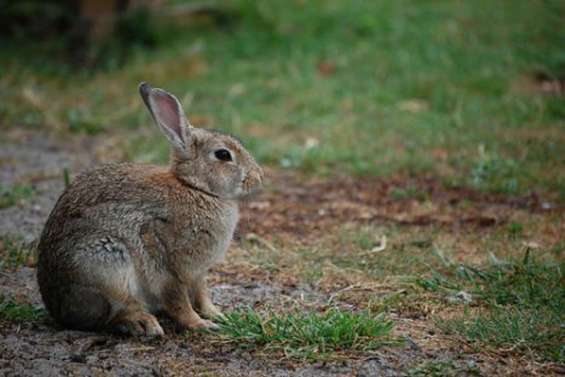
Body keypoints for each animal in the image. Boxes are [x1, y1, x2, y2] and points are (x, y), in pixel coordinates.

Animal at [35, 82, 264, 334]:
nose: (259, 177)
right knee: (112, 314)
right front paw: (200, 324)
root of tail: (57, 306)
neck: (196, 188)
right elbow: (178, 300)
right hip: (105, 263)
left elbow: (202, 295)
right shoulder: (165, 260)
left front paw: (218, 315)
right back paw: (144, 324)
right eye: (223, 154)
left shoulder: (197, 273)